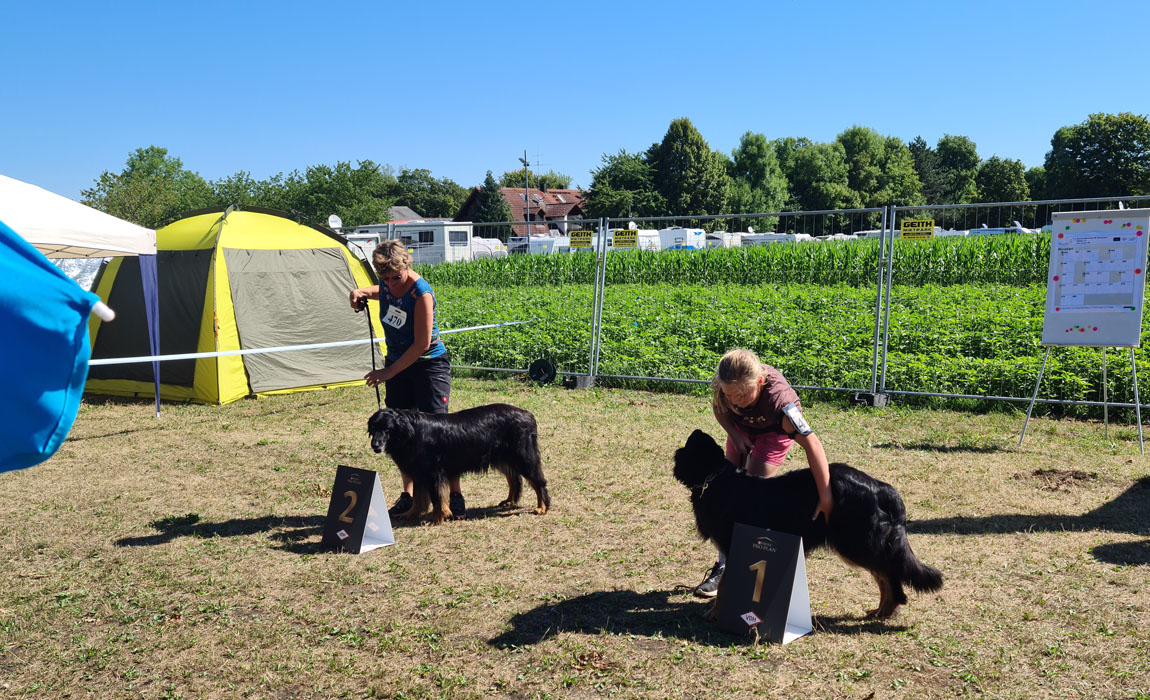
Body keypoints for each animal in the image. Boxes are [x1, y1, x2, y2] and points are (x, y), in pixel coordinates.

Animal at [365, 404, 549, 524]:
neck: (410, 432)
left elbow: (436, 498)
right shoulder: (419, 474)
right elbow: (418, 499)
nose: (375, 445)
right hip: (505, 459)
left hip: (524, 458)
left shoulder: (433, 473)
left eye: (387, 429)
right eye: (373, 428)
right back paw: (510, 502)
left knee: (538, 481)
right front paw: (410, 514)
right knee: (515, 480)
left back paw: (542, 507)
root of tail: (528, 415)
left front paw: (436, 518)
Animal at [671, 427, 943, 620]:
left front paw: (715, 613)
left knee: (888, 573)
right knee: (883, 575)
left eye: (692, 443)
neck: (716, 477)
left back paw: (888, 609)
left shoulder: (732, 542)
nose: (696, 430)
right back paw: (881, 610)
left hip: (857, 544)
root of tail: (885, 490)